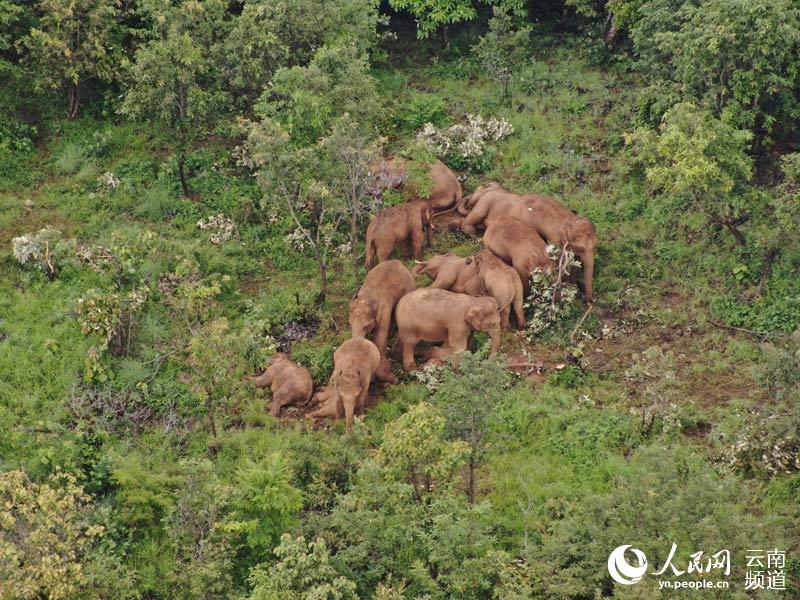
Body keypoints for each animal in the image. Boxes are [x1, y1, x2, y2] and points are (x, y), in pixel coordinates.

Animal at [460, 182, 596, 304]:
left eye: (595, 246)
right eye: (580, 248)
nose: (587, 300)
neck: (565, 218)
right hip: (485, 202)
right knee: (474, 216)